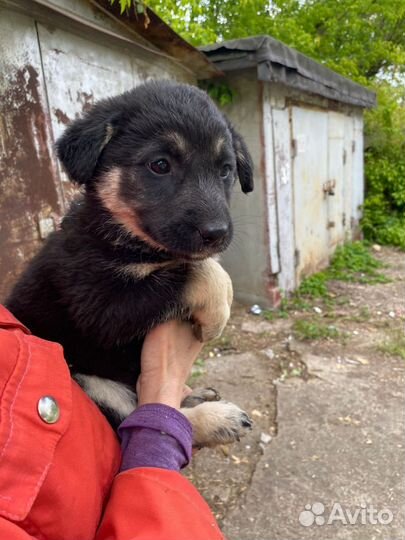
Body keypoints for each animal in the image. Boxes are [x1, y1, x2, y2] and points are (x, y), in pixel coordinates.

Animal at [6, 80, 252, 448]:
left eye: (225, 170)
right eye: (160, 165)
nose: (217, 233)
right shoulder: (101, 304)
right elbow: (197, 271)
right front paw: (217, 312)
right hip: (88, 380)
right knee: (138, 418)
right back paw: (216, 419)